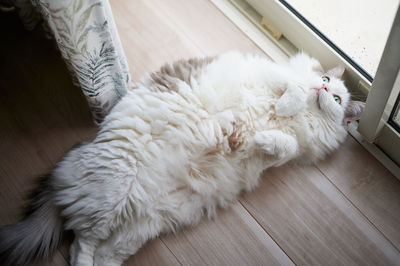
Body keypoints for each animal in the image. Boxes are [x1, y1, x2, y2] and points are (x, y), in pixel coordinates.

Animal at [0, 51, 364, 264]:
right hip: (113, 195)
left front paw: (258, 137)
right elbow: (292, 86)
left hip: (141, 226)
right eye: (326, 81)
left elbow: (282, 144)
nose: (322, 89)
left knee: (102, 253)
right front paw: (286, 103)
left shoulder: (283, 154)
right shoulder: (270, 72)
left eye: (335, 98)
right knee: (81, 244)